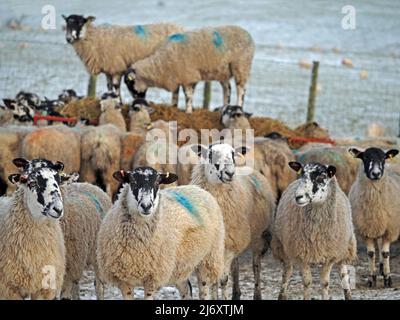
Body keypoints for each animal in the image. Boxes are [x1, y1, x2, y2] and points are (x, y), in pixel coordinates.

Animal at [96, 168, 225, 300]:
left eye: (157, 183)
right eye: (132, 182)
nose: (146, 206)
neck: (137, 248)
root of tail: (197, 188)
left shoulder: (153, 277)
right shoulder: (123, 279)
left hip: (209, 258)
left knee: (204, 289)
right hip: (179, 266)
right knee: (186, 289)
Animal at [125, 26, 255, 114]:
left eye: (130, 83)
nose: (135, 100)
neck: (159, 64)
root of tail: (247, 33)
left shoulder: (188, 76)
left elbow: (188, 95)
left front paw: (188, 111)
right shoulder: (177, 76)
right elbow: (176, 94)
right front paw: (174, 107)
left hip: (241, 65)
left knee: (241, 90)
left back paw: (239, 107)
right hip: (223, 71)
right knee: (227, 88)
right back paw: (224, 107)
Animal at [272, 162, 356, 300]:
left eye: (321, 177)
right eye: (302, 175)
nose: (298, 197)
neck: (316, 234)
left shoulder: (330, 255)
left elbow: (325, 282)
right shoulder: (301, 255)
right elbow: (307, 282)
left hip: (345, 247)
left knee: (343, 274)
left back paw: (348, 294)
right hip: (284, 247)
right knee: (287, 272)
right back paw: (282, 294)